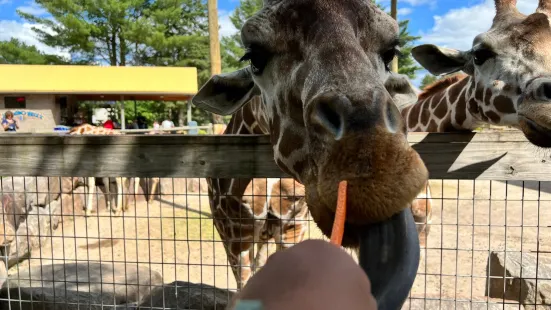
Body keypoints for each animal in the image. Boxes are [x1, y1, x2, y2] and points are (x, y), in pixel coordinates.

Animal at [192, 0, 430, 306]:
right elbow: (244, 282)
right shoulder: (234, 235)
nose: (380, 174)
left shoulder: (293, 227)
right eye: (254, 56)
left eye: (390, 53)